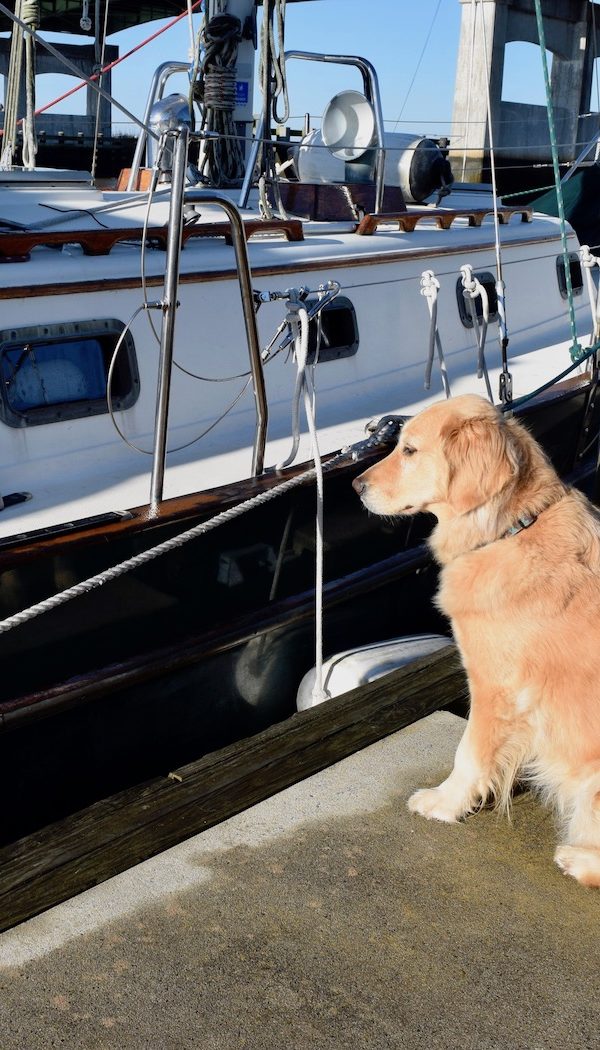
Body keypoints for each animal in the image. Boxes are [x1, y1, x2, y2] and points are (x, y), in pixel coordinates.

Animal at [353, 394, 600, 886]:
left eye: (409, 450)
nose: (355, 485)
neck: (512, 529)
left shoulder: (494, 686)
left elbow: (468, 754)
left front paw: (444, 803)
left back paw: (577, 858)